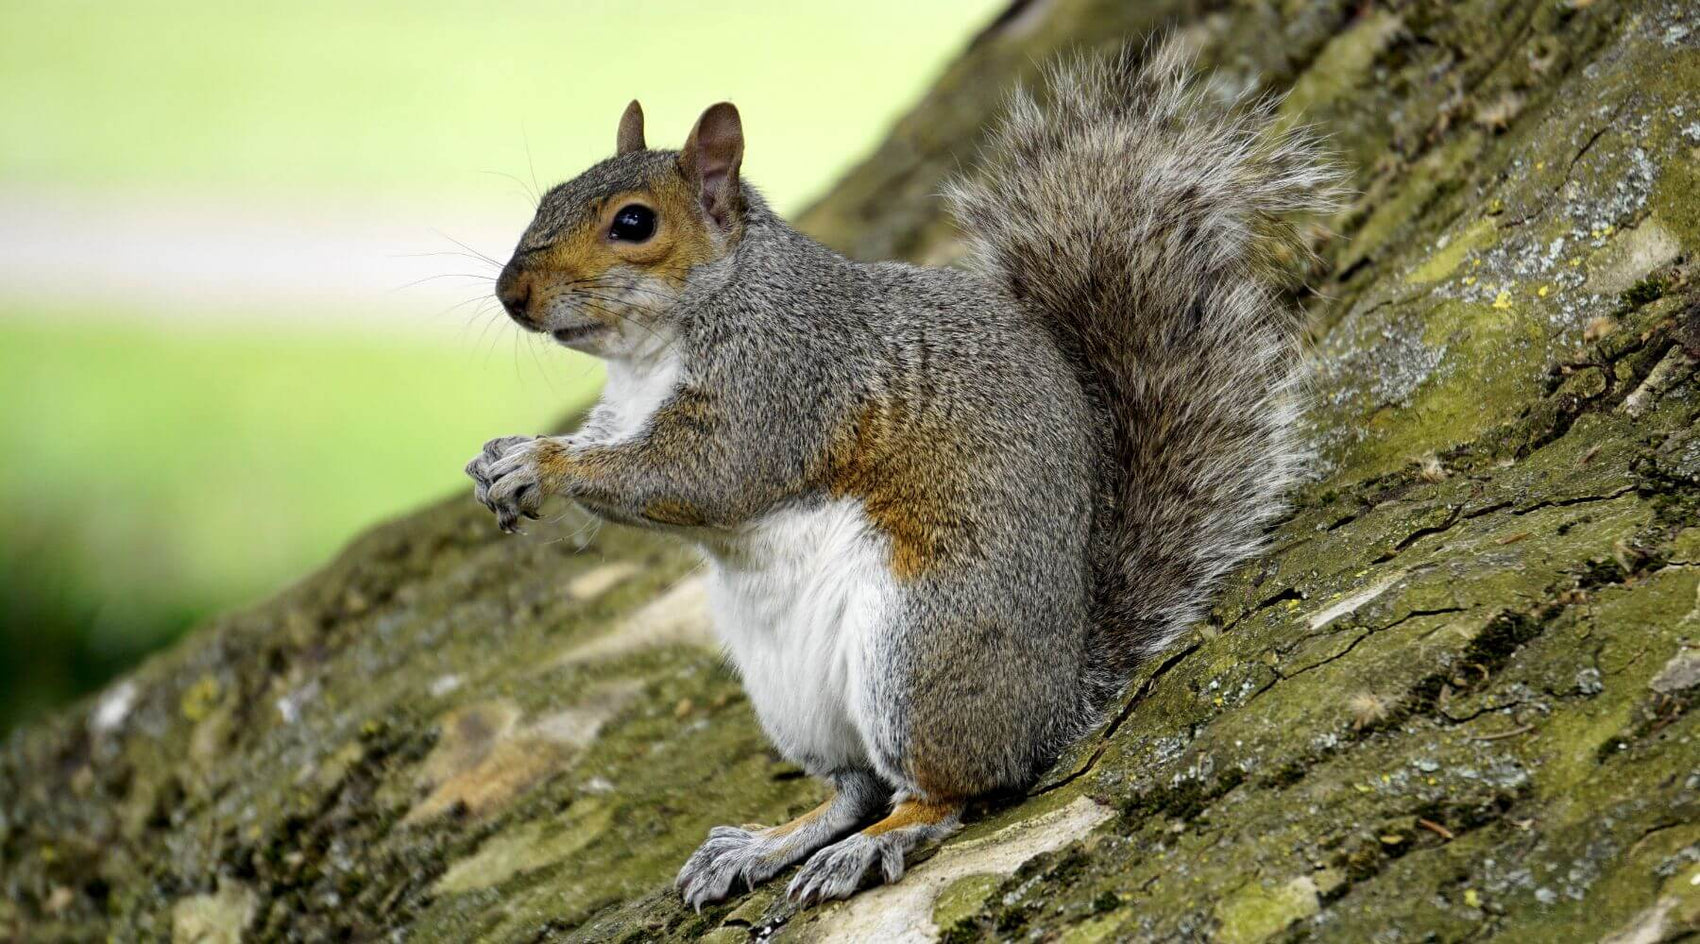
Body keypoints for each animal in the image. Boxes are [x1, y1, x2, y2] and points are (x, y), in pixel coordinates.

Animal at [466, 40, 1341, 907]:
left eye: (633, 223)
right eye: (552, 195)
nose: (512, 293)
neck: (660, 345)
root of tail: (1058, 700)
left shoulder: (779, 384)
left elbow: (702, 476)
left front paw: (543, 464)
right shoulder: (627, 409)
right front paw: (501, 457)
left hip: (918, 651)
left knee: (948, 791)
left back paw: (874, 844)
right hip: (794, 695)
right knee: (856, 787)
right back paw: (769, 843)